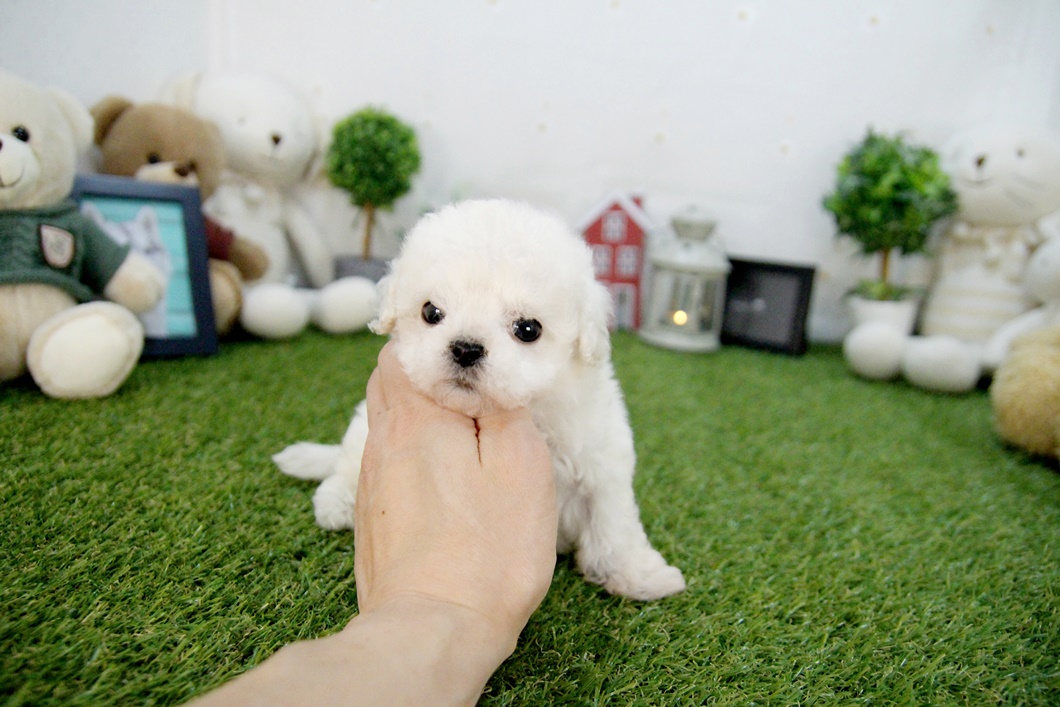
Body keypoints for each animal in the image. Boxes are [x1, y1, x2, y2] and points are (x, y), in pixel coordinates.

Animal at [274, 199, 685, 600]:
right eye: (431, 312)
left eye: (528, 329)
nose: (465, 348)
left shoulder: (600, 458)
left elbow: (613, 524)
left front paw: (639, 576)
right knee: (347, 464)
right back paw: (337, 502)